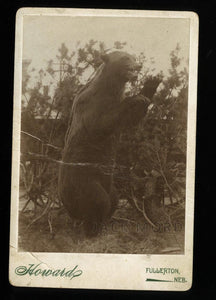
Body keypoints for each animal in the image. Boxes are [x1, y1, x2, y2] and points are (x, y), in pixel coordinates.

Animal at [58, 51, 159, 237]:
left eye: (133, 57)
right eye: (125, 58)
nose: (139, 65)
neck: (110, 87)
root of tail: (68, 208)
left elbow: (131, 120)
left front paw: (151, 84)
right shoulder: (92, 105)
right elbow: (101, 123)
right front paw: (134, 98)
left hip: (108, 183)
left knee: (114, 197)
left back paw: (106, 221)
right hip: (83, 179)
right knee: (98, 199)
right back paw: (91, 229)